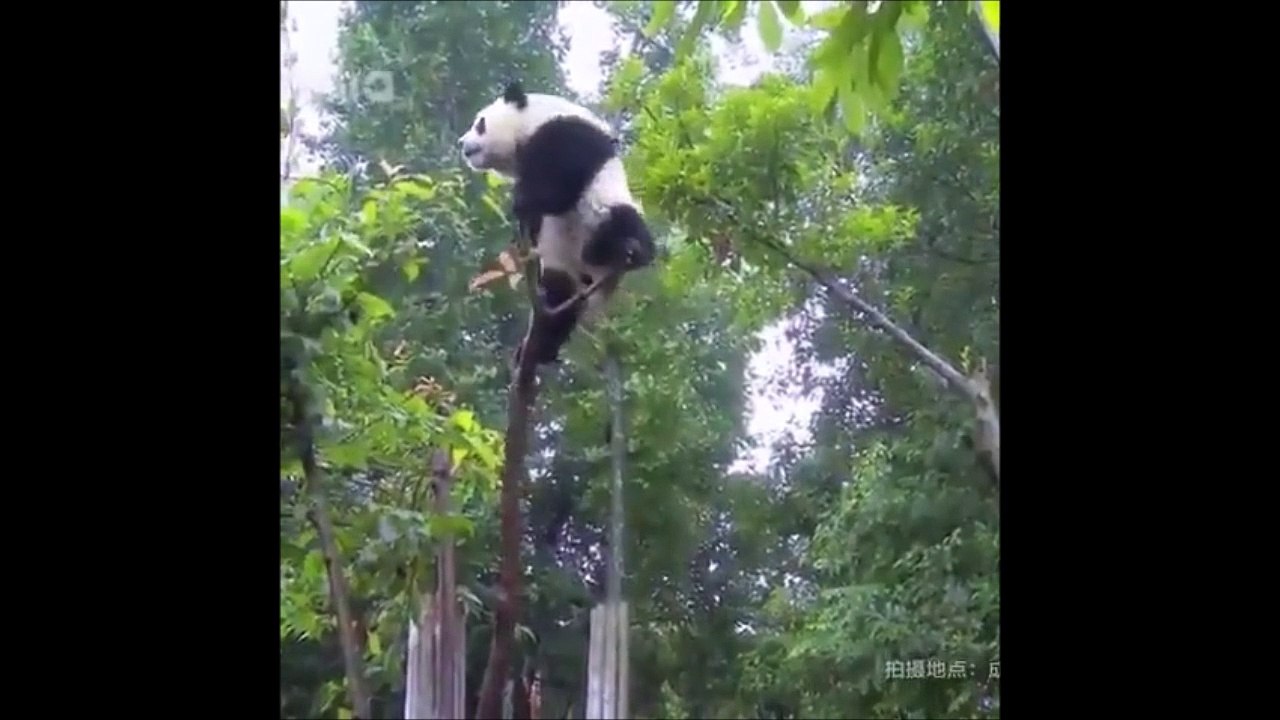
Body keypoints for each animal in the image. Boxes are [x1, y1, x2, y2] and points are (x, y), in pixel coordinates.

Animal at [457, 82, 656, 367]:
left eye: (480, 123)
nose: (462, 143)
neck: (534, 119)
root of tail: (597, 274)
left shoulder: (566, 134)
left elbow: (560, 186)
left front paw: (521, 201)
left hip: (607, 210)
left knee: (623, 223)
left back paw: (628, 251)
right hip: (564, 270)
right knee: (558, 297)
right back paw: (540, 348)